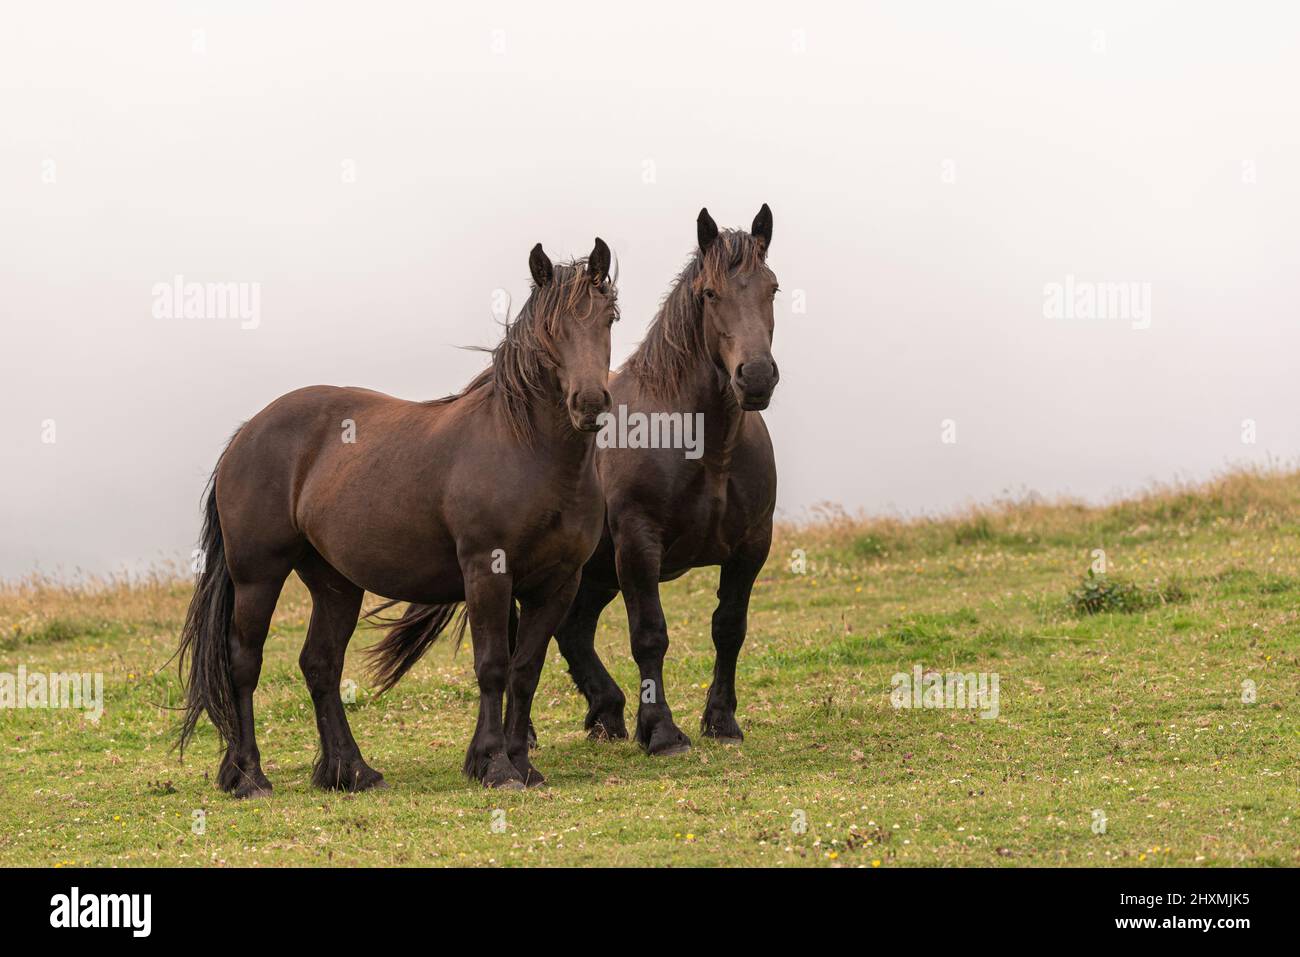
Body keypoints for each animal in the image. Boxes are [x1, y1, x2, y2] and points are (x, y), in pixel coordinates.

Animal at [178, 239, 618, 790]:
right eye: (550, 330)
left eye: (609, 316)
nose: (590, 403)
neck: (529, 452)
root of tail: (246, 434)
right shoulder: (486, 572)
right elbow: (493, 666)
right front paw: (495, 766)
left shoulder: (558, 583)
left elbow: (526, 670)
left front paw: (522, 764)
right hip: (258, 576)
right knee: (244, 662)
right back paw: (249, 777)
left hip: (335, 584)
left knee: (320, 665)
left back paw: (350, 771)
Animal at [551, 208, 774, 754]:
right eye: (710, 293)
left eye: (773, 288)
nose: (757, 376)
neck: (708, 449)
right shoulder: (638, 546)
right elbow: (649, 634)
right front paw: (662, 732)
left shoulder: (751, 547)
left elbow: (729, 628)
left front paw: (721, 721)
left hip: (594, 575)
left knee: (573, 630)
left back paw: (606, 715)